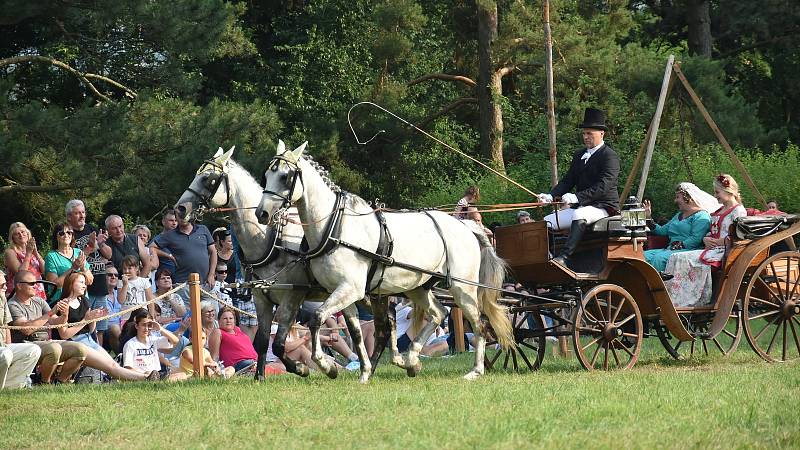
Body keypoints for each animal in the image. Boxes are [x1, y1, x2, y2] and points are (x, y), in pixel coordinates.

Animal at [174, 149, 384, 380]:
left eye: (208, 179)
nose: (180, 208)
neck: (270, 239)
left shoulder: (292, 296)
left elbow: (279, 343)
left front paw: (302, 368)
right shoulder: (261, 298)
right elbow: (263, 340)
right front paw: (260, 376)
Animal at [260, 140, 516, 380]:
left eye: (285, 176)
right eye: (266, 175)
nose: (262, 213)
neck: (335, 227)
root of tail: (466, 225)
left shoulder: (350, 289)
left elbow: (317, 318)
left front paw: (326, 366)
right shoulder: (343, 291)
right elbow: (355, 331)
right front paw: (364, 372)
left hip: (463, 288)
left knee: (479, 323)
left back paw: (475, 370)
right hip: (418, 287)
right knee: (439, 313)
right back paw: (412, 358)